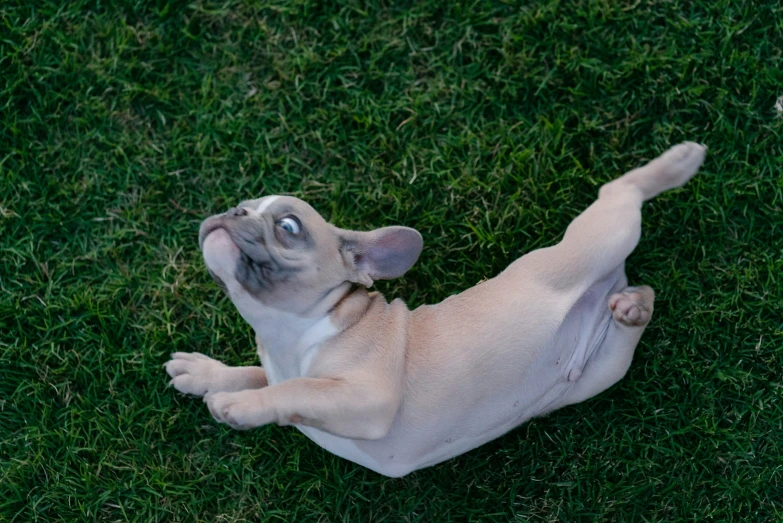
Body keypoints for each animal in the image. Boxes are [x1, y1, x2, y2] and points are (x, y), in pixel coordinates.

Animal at [165, 141, 712, 476]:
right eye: (242, 204)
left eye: (288, 226)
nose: (233, 211)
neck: (287, 334)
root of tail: (609, 284)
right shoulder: (286, 370)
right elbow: (254, 374)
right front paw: (204, 374)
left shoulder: (368, 395)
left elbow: (295, 389)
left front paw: (243, 407)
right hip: (601, 371)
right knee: (640, 306)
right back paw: (631, 307)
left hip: (598, 239)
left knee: (621, 192)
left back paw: (678, 163)